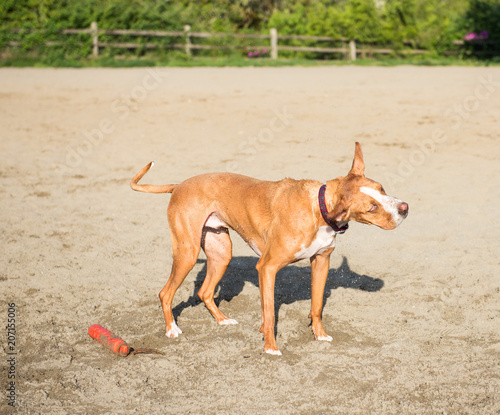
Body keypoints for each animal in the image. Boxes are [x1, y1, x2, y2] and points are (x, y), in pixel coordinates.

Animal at [131, 142, 408, 354]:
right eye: (372, 207)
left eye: (382, 188)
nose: (405, 208)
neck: (317, 208)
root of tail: (178, 185)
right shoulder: (266, 268)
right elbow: (269, 313)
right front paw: (271, 348)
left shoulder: (321, 261)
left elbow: (317, 305)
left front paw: (319, 335)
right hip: (187, 253)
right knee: (165, 293)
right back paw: (172, 330)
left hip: (221, 253)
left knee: (205, 292)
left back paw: (222, 320)